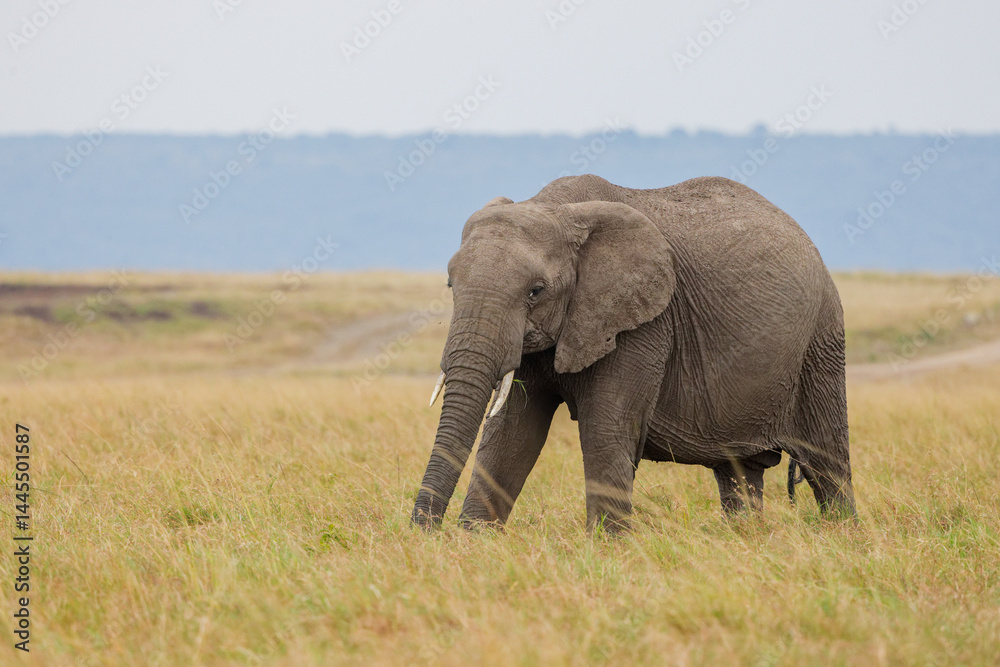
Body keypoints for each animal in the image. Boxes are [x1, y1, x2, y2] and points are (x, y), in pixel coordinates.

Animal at [411, 174, 856, 532]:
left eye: (536, 291)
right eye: (450, 285)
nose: (424, 531)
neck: (559, 209)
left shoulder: (646, 322)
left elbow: (606, 429)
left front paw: (607, 548)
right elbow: (511, 434)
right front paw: (474, 542)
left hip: (821, 341)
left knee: (826, 462)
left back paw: (843, 536)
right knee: (739, 472)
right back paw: (746, 538)